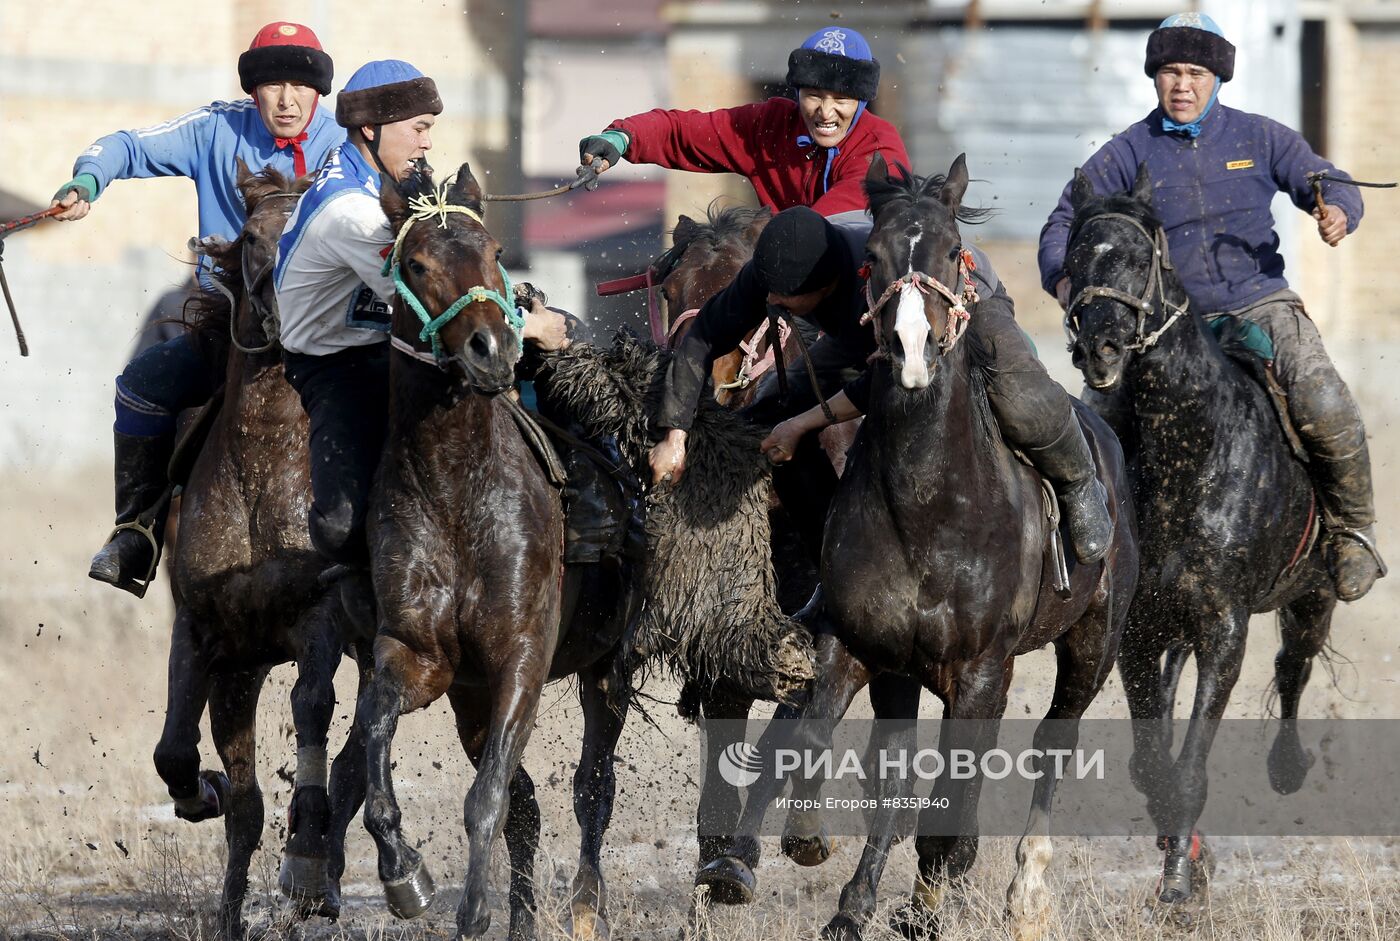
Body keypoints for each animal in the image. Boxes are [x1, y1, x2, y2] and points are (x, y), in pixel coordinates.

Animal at [155, 165, 375, 935]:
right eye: (250, 236)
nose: (283, 311)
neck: (265, 458)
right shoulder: (209, 636)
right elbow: (182, 753)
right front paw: (204, 792)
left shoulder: (320, 619)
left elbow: (312, 704)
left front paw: (305, 859)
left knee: (355, 756)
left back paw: (321, 868)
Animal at [350, 165, 641, 941]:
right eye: (416, 263)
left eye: (496, 251)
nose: (491, 351)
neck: (456, 488)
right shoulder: (423, 656)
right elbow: (376, 735)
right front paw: (405, 873)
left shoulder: (522, 657)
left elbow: (488, 798)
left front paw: (475, 908)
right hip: (471, 698)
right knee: (530, 802)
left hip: (608, 664)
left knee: (592, 786)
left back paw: (586, 905)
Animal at [697, 154, 1136, 941]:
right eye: (872, 258)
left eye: (951, 252)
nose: (908, 352)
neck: (929, 505)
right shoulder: (853, 641)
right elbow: (821, 743)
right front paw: (808, 844)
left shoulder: (985, 670)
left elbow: (945, 801)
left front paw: (930, 901)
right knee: (897, 771)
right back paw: (854, 903)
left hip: (1092, 643)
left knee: (1053, 745)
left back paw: (1021, 894)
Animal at [1058, 163, 1332, 912]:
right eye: (1073, 258)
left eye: (1138, 255)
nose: (1100, 347)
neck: (1188, 450)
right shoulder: (1138, 628)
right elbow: (1152, 757)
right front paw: (1183, 858)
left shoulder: (1223, 628)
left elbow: (1188, 763)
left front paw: (1180, 882)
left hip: (1315, 593)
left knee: (1294, 666)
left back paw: (1289, 766)